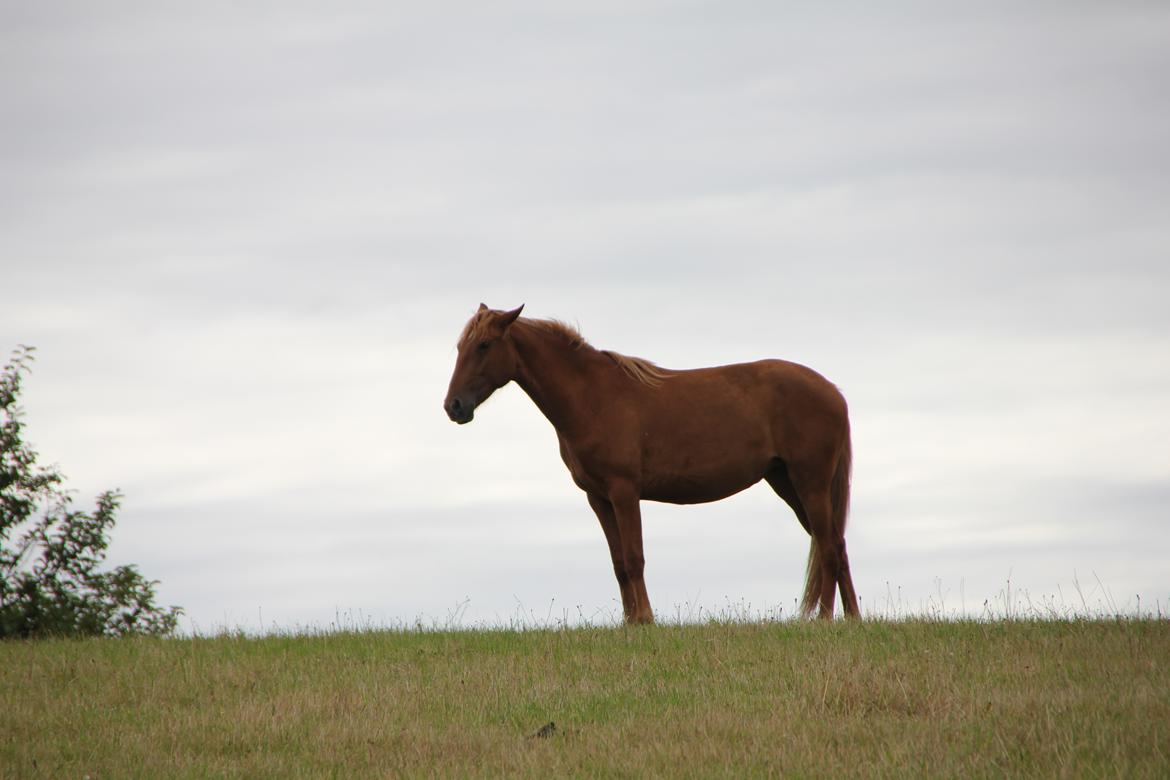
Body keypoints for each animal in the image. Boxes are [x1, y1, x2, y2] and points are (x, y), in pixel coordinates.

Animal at [439, 304, 861, 622]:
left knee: (827, 545)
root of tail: (833, 392)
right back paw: (852, 619)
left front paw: (645, 619)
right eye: (461, 346)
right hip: (788, 483)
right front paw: (629, 622)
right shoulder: (599, 498)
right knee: (836, 545)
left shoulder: (625, 492)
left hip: (810, 482)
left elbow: (634, 557)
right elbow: (618, 562)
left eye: (484, 345)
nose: (453, 406)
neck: (593, 397)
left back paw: (825, 620)